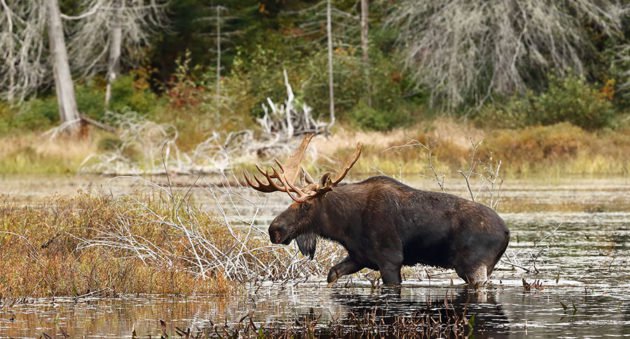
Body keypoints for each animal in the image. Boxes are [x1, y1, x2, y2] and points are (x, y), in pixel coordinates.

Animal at [244, 134, 512, 286]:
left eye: (306, 205)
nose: (274, 229)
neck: (344, 225)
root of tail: (507, 232)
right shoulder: (360, 257)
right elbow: (332, 274)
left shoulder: (390, 259)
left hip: (474, 266)